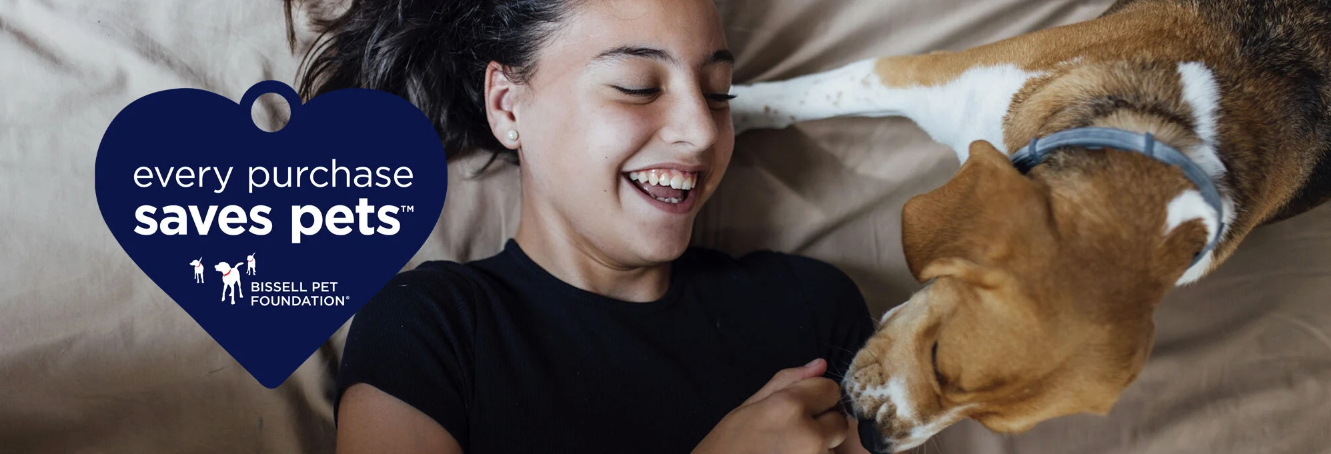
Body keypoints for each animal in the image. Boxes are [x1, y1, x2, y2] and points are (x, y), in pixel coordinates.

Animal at [730, 0, 1330, 451]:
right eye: (937, 357)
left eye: (988, 422)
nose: (873, 440)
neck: (1157, 140)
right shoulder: (918, 75)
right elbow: (802, 97)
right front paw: (726, 111)